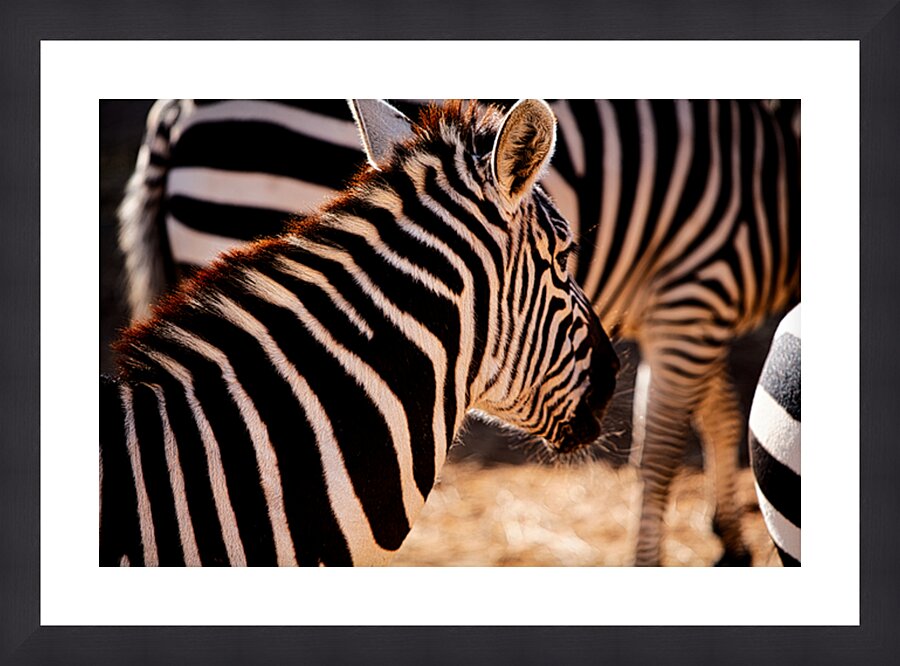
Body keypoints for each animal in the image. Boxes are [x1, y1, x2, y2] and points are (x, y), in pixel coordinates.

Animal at [115, 98, 800, 566]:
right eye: (565, 258)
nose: (611, 376)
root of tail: (175, 112)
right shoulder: (696, 283)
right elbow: (662, 449)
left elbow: (720, 407)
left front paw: (732, 538)